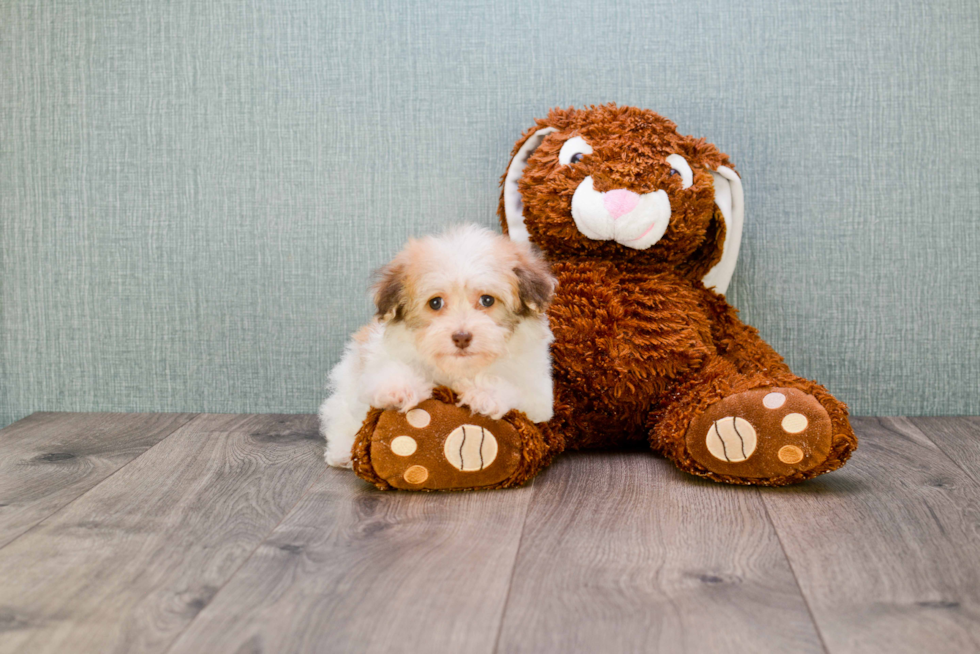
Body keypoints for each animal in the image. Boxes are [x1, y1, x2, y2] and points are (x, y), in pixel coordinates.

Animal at [318, 227, 556, 472]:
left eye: (487, 300)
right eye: (435, 303)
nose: (461, 337)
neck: (457, 369)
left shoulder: (538, 393)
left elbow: (516, 391)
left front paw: (485, 394)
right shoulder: (378, 359)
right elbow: (386, 372)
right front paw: (399, 389)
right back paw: (342, 453)